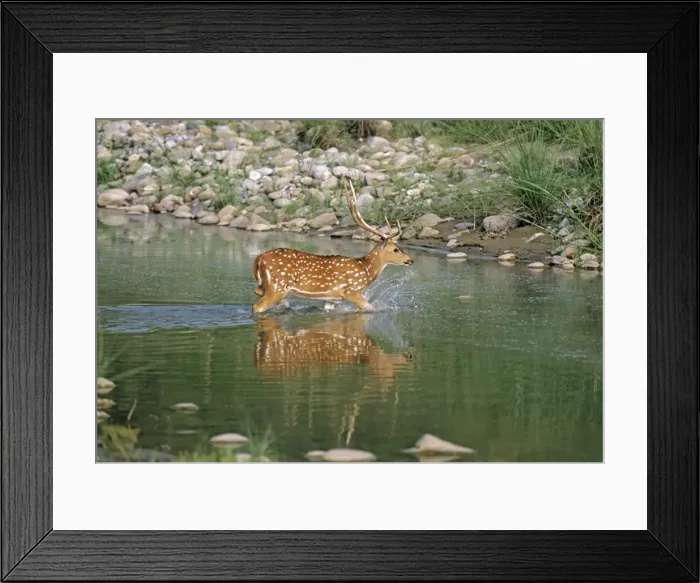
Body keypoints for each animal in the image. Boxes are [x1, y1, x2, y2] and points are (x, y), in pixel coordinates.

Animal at [251, 179, 413, 313]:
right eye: (395, 249)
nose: (410, 260)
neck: (366, 270)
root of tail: (259, 259)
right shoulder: (352, 291)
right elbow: (369, 308)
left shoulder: (332, 299)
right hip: (277, 286)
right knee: (257, 307)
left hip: (268, 285)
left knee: (257, 292)